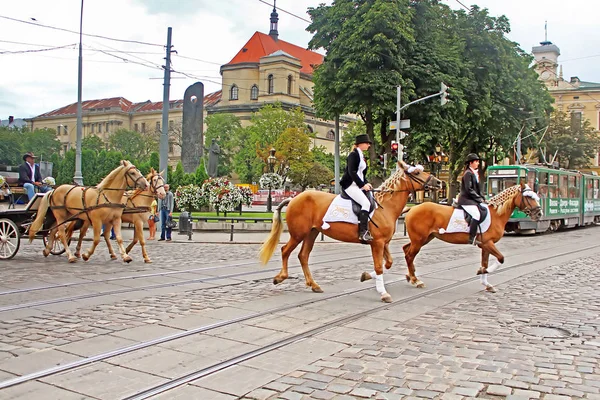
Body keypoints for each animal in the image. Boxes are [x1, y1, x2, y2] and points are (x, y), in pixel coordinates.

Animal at [260, 161, 442, 302]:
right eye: (417, 172)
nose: (439, 182)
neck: (384, 207)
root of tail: (294, 198)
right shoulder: (377, 243)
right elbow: (379, 267)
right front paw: (383, 293)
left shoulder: (384, 243)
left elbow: (388, 263)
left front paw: (366, 276)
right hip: (298, 234)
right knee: (285, 250)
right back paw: (280, 277)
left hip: (311, 233)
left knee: (303, 256)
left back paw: (314, 285)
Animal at [400, 183, 540, 292]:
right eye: (528, 197)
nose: (539, 213)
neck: (495, 214)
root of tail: (412, 209)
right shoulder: (488, 243)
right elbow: (500, 259)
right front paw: (481, 272)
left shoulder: (485, 245)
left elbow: (485, 263)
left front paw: (486, 283)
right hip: (419, 240)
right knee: (410, 255)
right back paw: (415, 280)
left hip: (425, 239)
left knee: (406, 249)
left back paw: (410, 276)